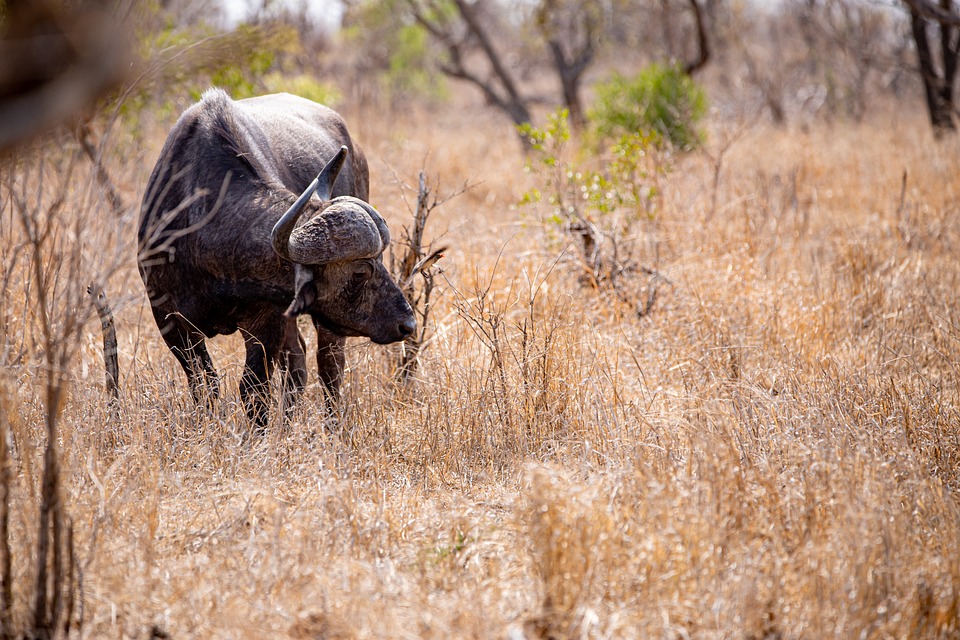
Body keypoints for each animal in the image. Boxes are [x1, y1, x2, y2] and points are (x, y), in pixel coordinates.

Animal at [138, 88, 415, 427]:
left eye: (381, 262)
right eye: (360, 272)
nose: (408, 325)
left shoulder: (267, 321)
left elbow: (254, 390)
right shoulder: (169, 320)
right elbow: (204, 385)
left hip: (327, 326)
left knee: (329, 367)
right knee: (298, 362)